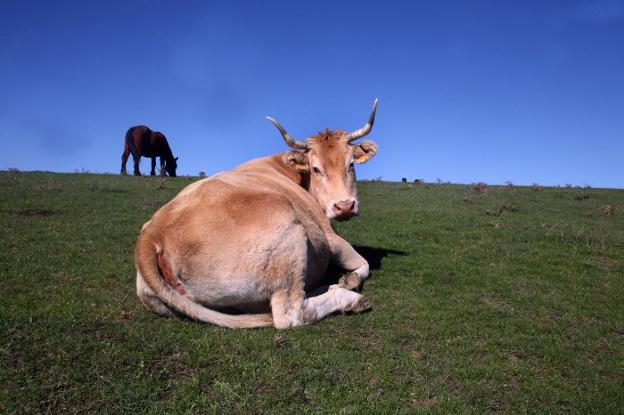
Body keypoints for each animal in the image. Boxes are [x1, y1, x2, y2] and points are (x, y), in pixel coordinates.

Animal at [135, 100, 380, 328]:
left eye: (351, 165)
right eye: (316, 168)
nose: (345, 206)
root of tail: (152, 233)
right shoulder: (329, 236)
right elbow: (363, 264)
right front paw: (348, 281)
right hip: (288, 229)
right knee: (290, 314)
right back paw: (348, 298)